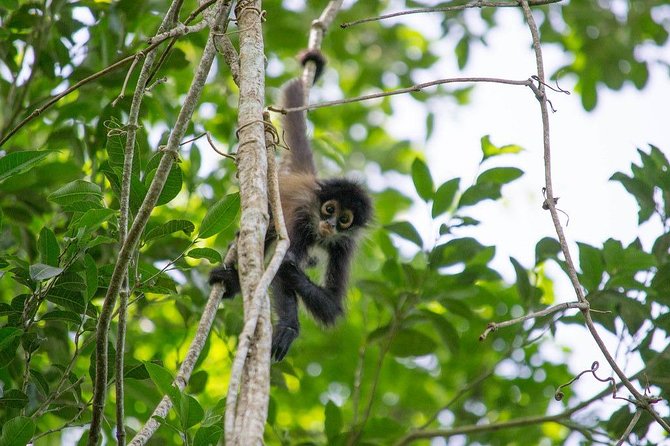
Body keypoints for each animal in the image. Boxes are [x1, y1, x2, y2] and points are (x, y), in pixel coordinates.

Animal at [210, 51, 372, 361]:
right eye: (329, 209)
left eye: (344, 219)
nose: (329, 224)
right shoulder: (298, 218)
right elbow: (279, 269)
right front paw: (288, 326)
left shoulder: (345, 244)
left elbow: (330, 305)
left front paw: (292, 268)